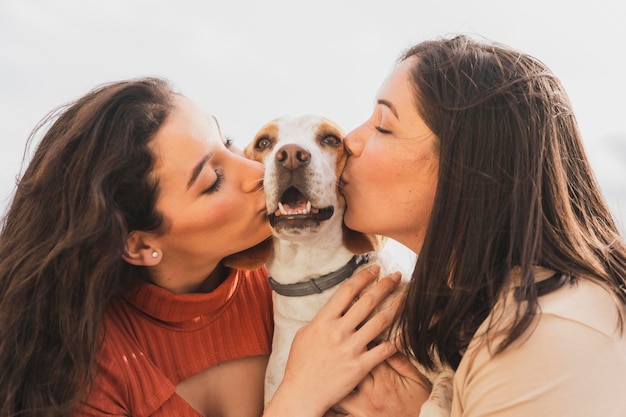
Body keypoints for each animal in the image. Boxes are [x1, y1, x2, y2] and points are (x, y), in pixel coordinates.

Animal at [238, 114, 448, 416]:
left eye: (330, 139)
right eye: (264, 143)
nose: (291, 156)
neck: (316, 276)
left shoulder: (440, 363)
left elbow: (437, 399)